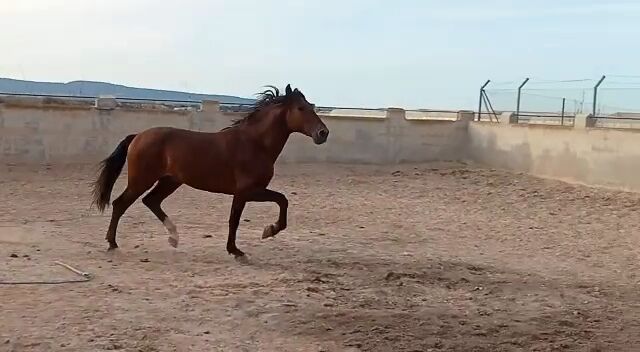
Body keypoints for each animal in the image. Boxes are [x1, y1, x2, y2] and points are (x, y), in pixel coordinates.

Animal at [91, 85, 330, 258]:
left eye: (311, 106)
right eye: (301, 109)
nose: (323, 133)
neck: (255, 143)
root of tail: (138, 136)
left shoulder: (250, 192)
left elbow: (279, 202)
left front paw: (265, 232)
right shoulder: (246, 191)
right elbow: (244, 216)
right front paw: (242, 246)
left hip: (170, 181)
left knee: (151, 201)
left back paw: (174, 237)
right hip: (142, 180)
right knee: (120, 204)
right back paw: (113, 243)